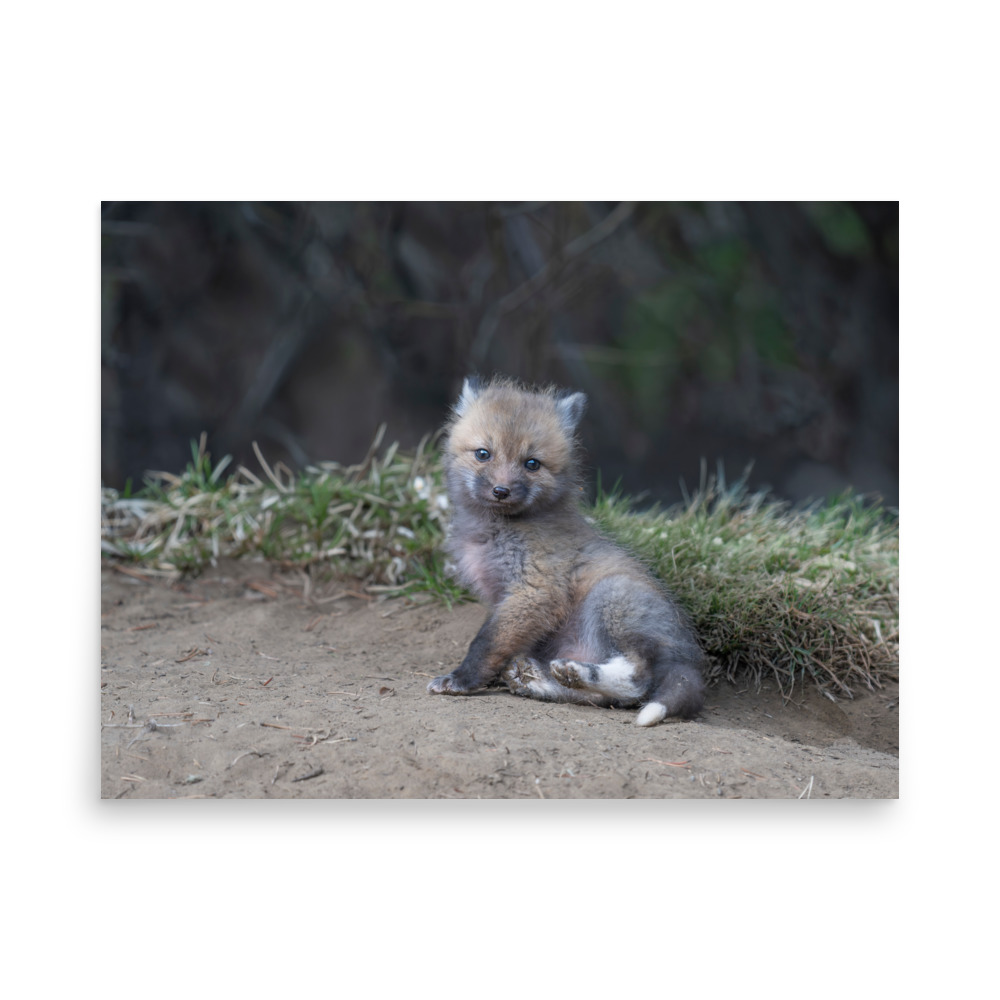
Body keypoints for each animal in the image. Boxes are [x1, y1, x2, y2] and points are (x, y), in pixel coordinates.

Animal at [426, 375, 705, 726]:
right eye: (483, 454)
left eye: (532, 464)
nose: (501, 491)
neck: (497, 530)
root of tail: (690, 658)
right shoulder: (505, 597)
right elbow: (498, 643)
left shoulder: (535, 590)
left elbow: (486, 642)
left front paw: (462, 679)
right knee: (604, 699)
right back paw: (541, 680)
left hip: (611, 597)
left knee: (637, 681)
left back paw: (575, 673)